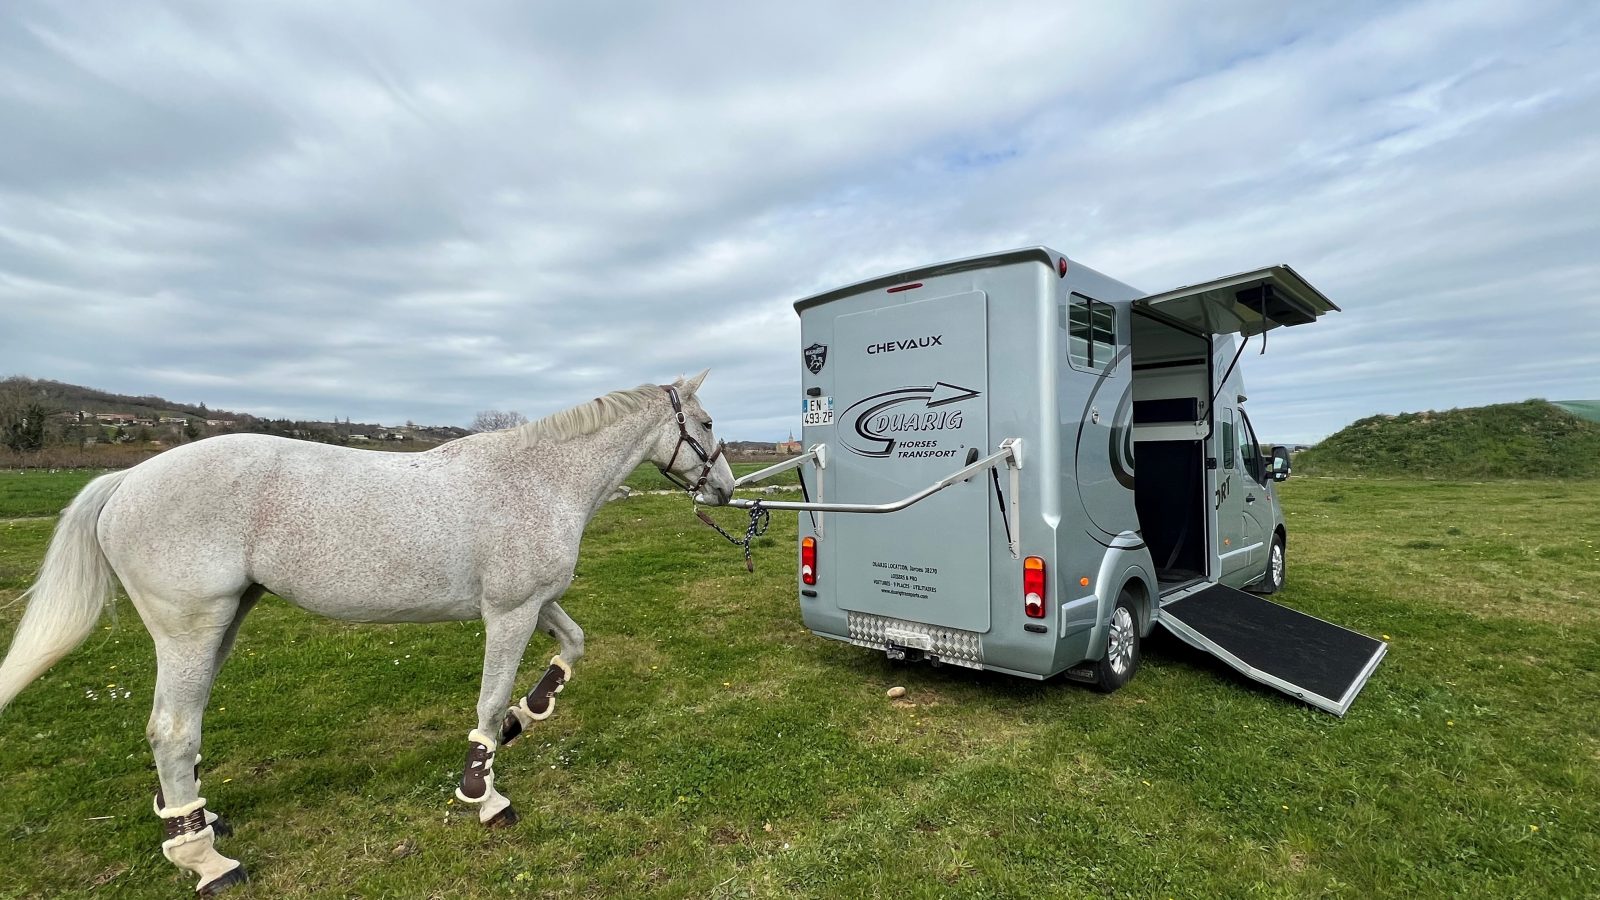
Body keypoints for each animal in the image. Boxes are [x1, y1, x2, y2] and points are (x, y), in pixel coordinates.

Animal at [0, 372, 734, 896]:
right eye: (705, 422)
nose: (725, 490)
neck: (536, 482)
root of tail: (127, 479)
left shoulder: (535, 604)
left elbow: (571, 646)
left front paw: (528, 716)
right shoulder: (510, 612)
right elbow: (489, 697)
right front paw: (484, 793)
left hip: (223, 623)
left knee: (184, 724)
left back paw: (196, 820)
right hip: (190, 629)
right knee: (172, 731)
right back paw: (207, 861)